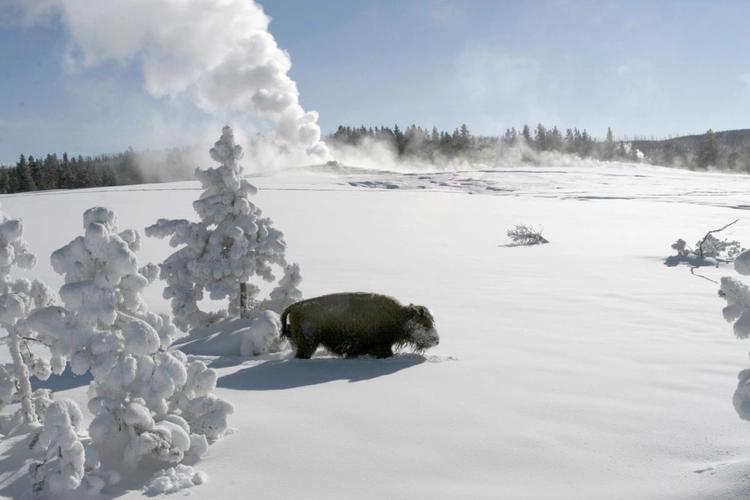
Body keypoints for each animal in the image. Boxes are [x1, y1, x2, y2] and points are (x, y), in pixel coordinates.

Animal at [280, 292, 438, 360]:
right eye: (424, 323)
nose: (436, 340)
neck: (399, 316)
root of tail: (293, 307)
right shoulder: (382, 346)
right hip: (308, 344)